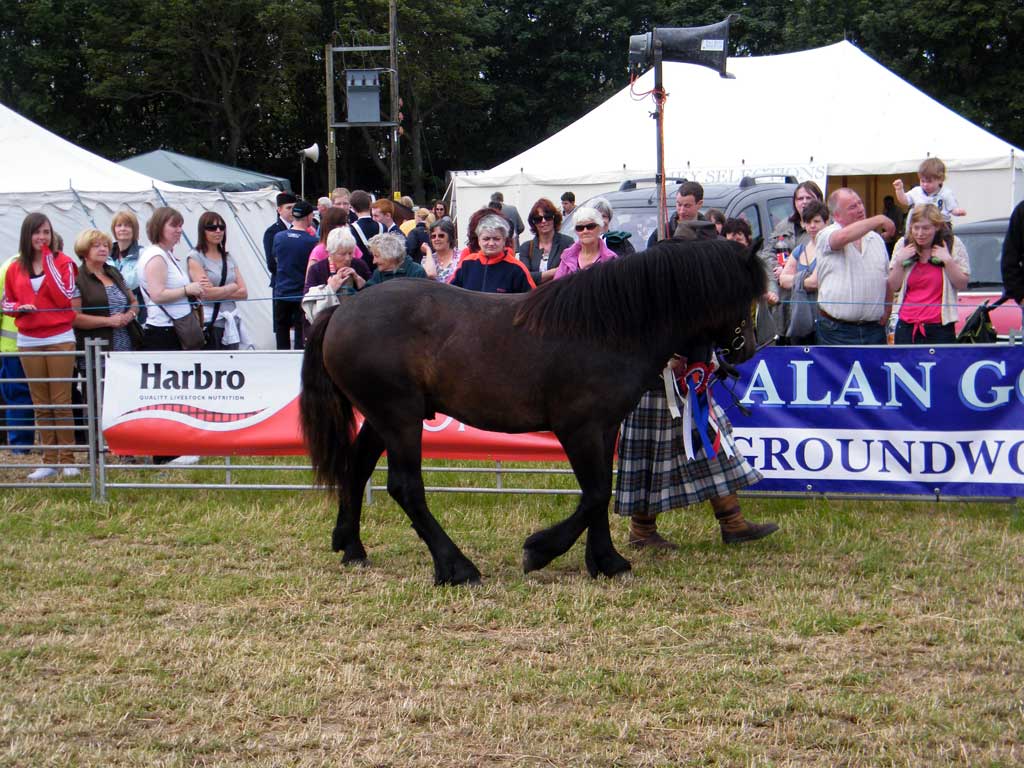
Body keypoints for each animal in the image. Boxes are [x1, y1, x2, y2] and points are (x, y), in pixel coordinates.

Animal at [299, 237, 765, 585]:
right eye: (748, 294)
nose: (748, 349)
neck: (607, 328)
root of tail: (342, 309)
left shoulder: (604, 427)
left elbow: (600, 491)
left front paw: (606, 561)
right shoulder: (578, 428)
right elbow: (595, 493)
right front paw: (540, 550)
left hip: (383, 418)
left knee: (357, 468)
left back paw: (352, 547)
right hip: (399, 417)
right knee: (405, 487)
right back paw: (456, 567)